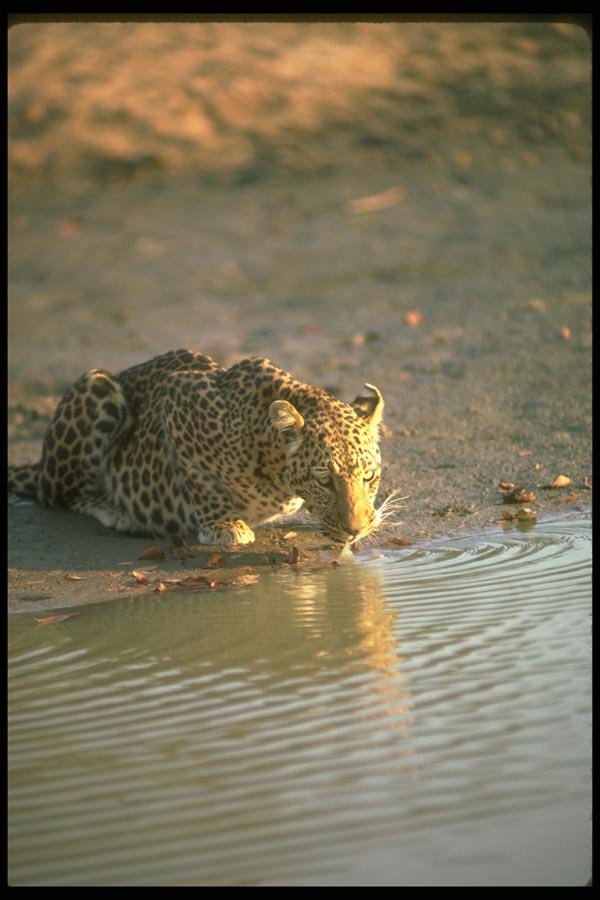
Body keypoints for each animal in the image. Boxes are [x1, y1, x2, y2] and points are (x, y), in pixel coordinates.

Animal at [8, 349, 399, 546]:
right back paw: (114, 509)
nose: (356, 530)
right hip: (97, 386)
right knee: (56, 494)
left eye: (369, 477)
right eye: (324, 480)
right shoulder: (176, 397)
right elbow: (199, 480)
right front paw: (224, 525)